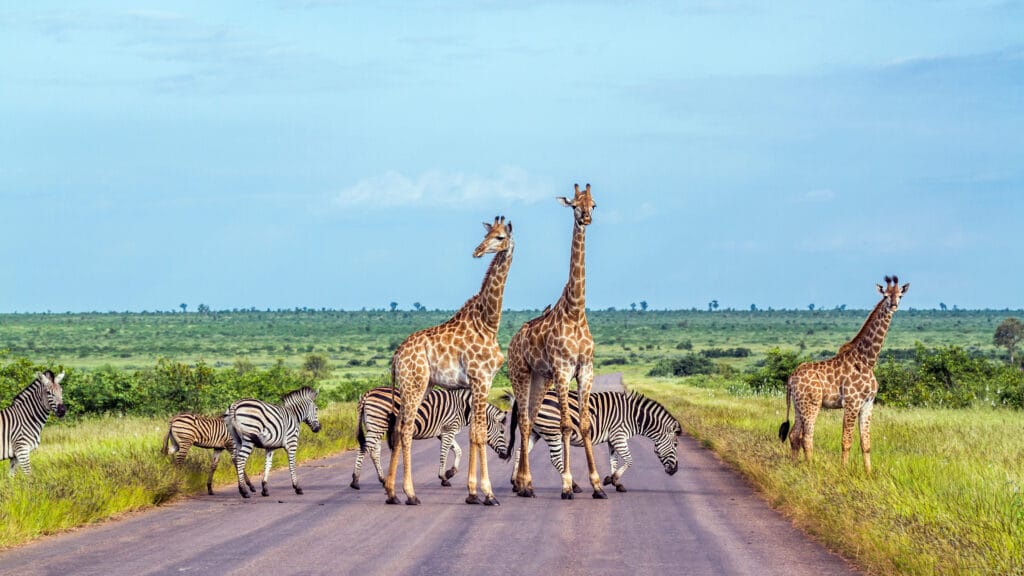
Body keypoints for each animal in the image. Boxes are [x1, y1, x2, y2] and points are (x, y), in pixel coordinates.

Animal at [349, 386, 509, 490]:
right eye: (502, 432)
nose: (506, 455)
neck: (464, 408)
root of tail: (368, 393)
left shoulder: (443, 432)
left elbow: (458, 451)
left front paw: (450, 473)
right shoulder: (449, 429)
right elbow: (444, 453)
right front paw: (443, 477)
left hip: (374, 425)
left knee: (373, 451)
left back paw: (382, 479)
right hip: (378, 424)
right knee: (364, 448)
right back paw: (355, 481)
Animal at [383, 216, 513, 506]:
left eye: (500, 237)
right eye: (488, 235)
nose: (477, 251)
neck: (489, 323)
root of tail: (396, 357)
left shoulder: (478, 383)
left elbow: (474, 434)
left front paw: (473, 493)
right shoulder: (482, 379)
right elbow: (479, 434)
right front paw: (488, 494)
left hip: (420, 386)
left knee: (397, 428)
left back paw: (391, 492)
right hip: (415, 384)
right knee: (405, 429)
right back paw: (410, 494)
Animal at [506, 183, 606, 500]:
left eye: (593, 204)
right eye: (574, 204)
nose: (586, 218)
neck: (575, 311)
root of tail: (513, 341)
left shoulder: (585, 369)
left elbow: (583, 425)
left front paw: (597, 484)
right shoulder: (563, 370)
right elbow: (565, 425)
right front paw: (566, 485)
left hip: (541, 378)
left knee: (529, 418)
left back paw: (523, 483)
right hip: (521, 373)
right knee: (525, 421)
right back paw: (525, 483)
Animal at [507, 389, 681, 493]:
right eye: (676, 444)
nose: (675, 470)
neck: (634, 417)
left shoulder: (612, 439)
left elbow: (614, 461)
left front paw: (615, 482)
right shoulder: (619, 436)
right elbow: (629, 460)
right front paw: (612, 479)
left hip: (535, 432)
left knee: (520, 452)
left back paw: (515, 483)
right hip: (552, 431)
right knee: (555, 459)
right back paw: (574, 485)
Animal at [779, 275, 909, 473]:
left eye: (900, 295)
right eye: (886, 296)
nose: (893, 305)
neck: (867, 360)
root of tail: (791, 378)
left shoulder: (868, 403)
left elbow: (866, 442)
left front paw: (868, 473)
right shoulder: (852, 402)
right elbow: (846, 441)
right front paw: (844, 471)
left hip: (799, 404)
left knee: (794, 434)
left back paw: (795, 466)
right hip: (812, 404)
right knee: (807, 437)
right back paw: (810, 467)